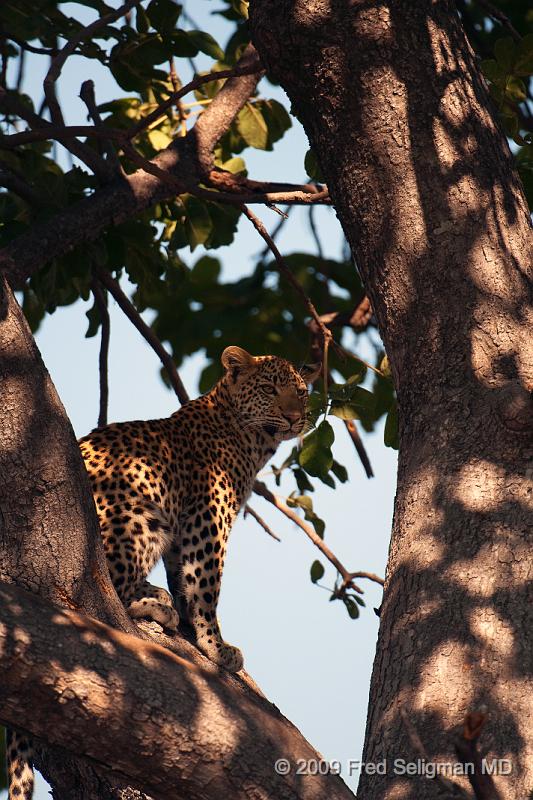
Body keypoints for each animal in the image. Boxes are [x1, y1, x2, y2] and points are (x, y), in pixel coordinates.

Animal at [7, 346, 320, 800]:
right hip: (135, 516)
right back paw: (152, 605)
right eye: (268, 387)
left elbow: (185, 577)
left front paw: (192, 622)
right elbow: (206, 584)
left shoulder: (186, 529)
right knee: (112, 588)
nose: (295, 417)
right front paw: (215, 646)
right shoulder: (208, 518)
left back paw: (159, 597)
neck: (248, 438)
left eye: (301, 391)